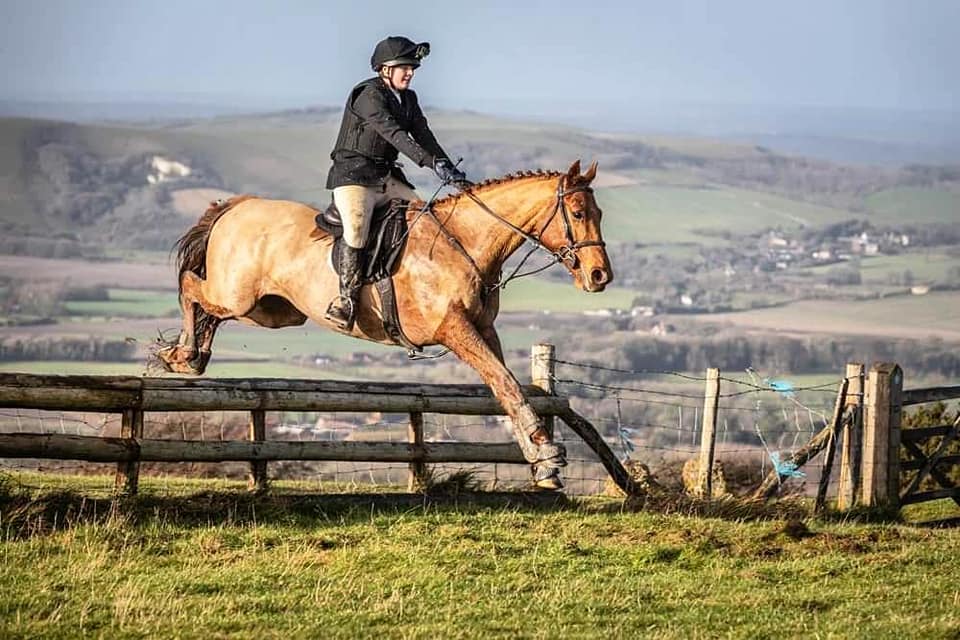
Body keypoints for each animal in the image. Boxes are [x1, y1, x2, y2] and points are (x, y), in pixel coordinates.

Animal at [154, 161, 612, 490]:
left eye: (599, 213)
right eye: (577, 212)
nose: (599, 276)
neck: (464, 242)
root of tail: (239, 204)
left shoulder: (483, 329)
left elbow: (505, 386)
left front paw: (541, 463)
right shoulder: (454, 329)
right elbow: (505, 383)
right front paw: (547, 456)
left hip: (272, 311)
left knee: (209, 307)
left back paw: (191, 355)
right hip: (240, 295)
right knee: (191, 286)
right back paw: (183, 355)